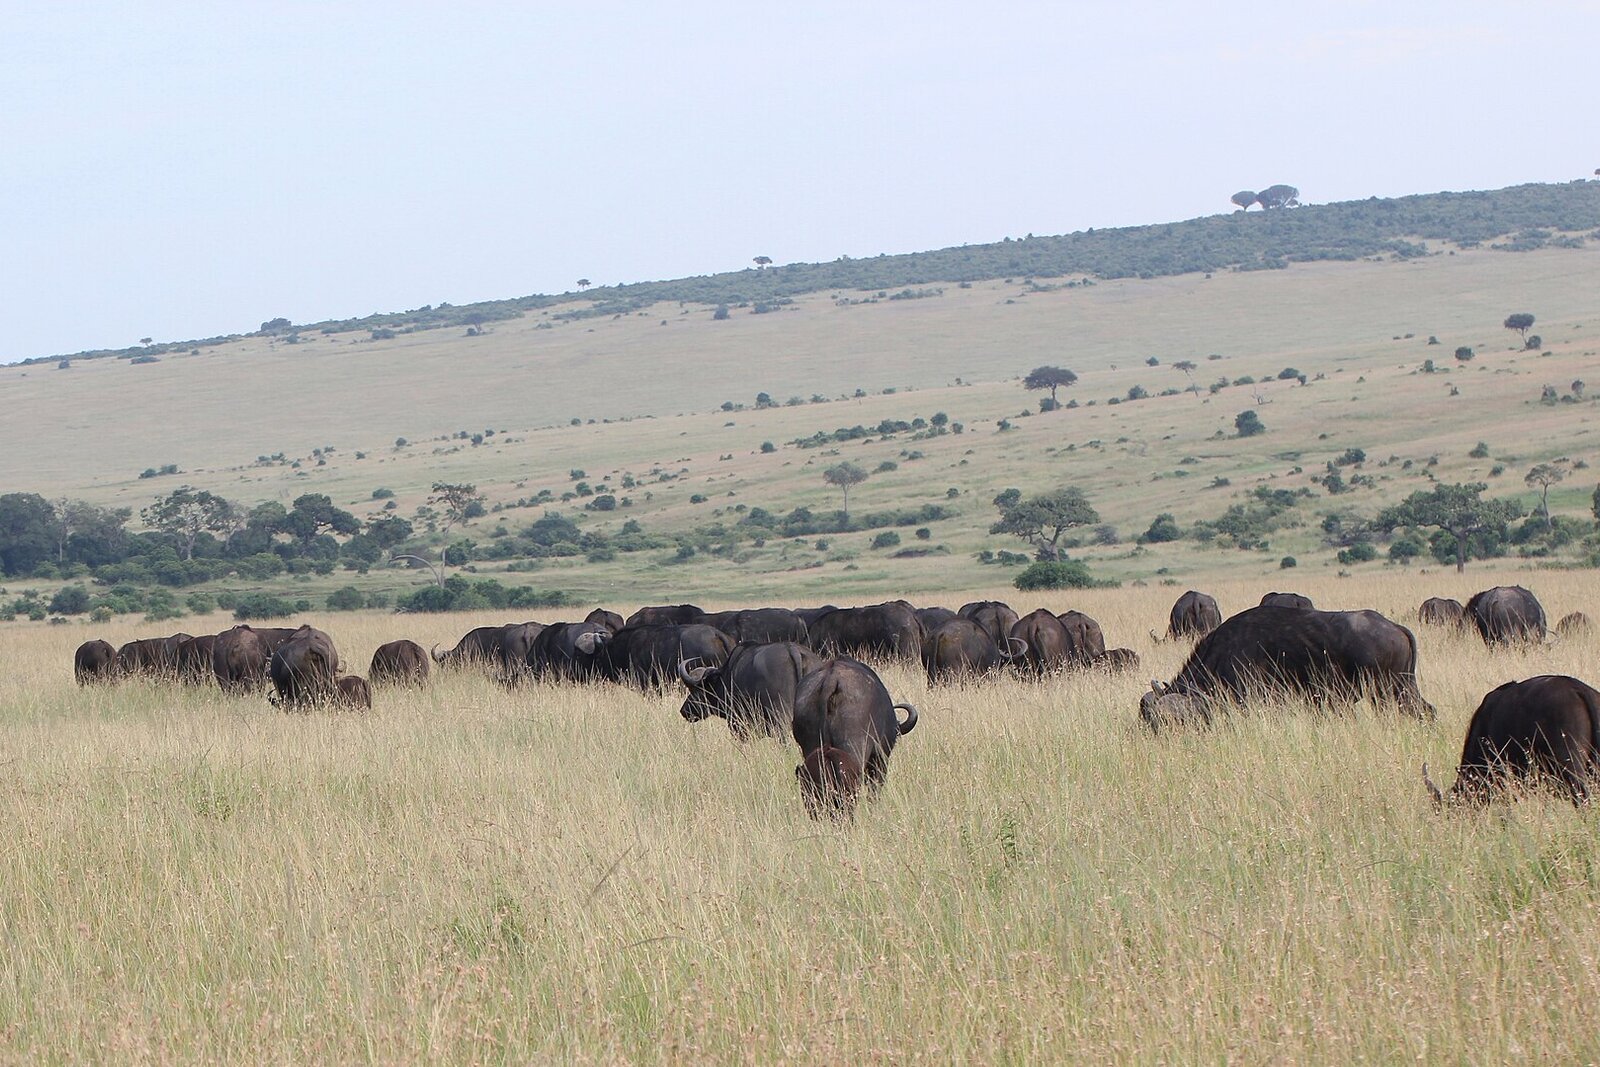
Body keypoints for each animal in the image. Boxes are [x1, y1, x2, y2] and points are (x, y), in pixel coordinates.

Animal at [679, 641, 825, 739]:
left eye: (695, 690)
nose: (683, 710)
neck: (726, 677)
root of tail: (793, 650)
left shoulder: (738, 726)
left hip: (780, 718)